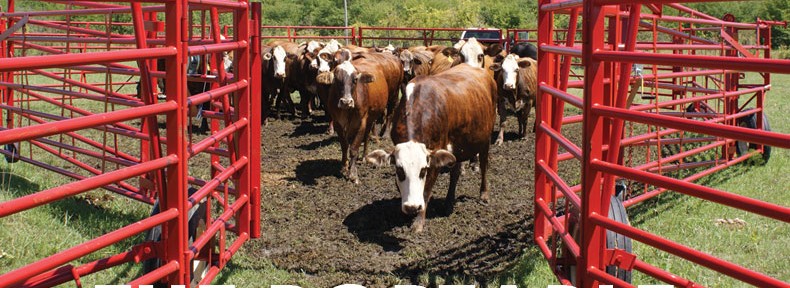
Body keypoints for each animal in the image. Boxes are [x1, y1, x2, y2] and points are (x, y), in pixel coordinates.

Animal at [326, 48, 392, 183]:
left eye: (355, 79)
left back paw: (364, 157)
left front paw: (353, 174)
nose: (346, 102)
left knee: (366, 137)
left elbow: (354, 148)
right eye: (337, 79)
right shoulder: (337, 123)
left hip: (371, 119)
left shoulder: (361, 122)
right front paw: (344, 167)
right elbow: (344, 145)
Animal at [366, 63, 496, 232]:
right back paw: (448, 203)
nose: (412, 207)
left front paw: (418, 222)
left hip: (485, 139)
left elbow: (426, 191)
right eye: (400, 170)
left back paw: (484, 194)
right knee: (455, 173)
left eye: (423, 170)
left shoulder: (434, 159)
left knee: (484, 165)